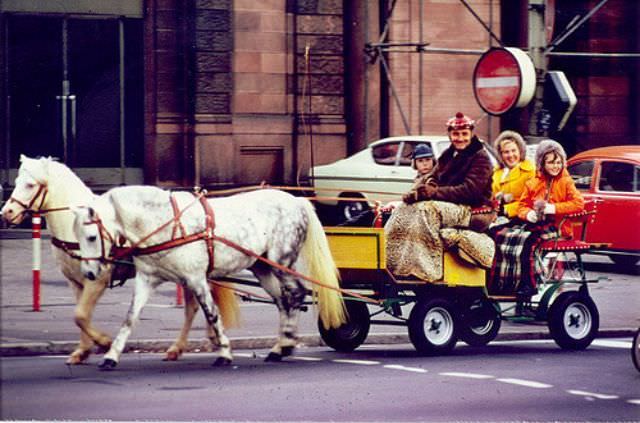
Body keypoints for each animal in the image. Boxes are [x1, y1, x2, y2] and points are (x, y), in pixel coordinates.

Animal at [1, 156, 239, 364]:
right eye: (16, 182)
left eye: (30, 185)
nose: (6, 212)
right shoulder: (76, 281)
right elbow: (80, 316)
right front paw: (83, 351)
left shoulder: (97, 279)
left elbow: (81, 315)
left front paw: (104, 342)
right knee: (194, 306)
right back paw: (189, 344)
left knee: (194, 307)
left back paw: (197, 342)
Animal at [72, 186, 348, 368]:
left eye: (92, 237)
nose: (89, 273)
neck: (167, 223)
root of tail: (298, 201)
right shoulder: (146, 280)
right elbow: (130, 319)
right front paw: (111, 355)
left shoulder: (196, 279)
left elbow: (212, 314)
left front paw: (224, 353)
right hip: (263, 268)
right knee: (284, 301)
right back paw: (279, 347)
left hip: (282, 263)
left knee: (296, 294)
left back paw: (287, 342)